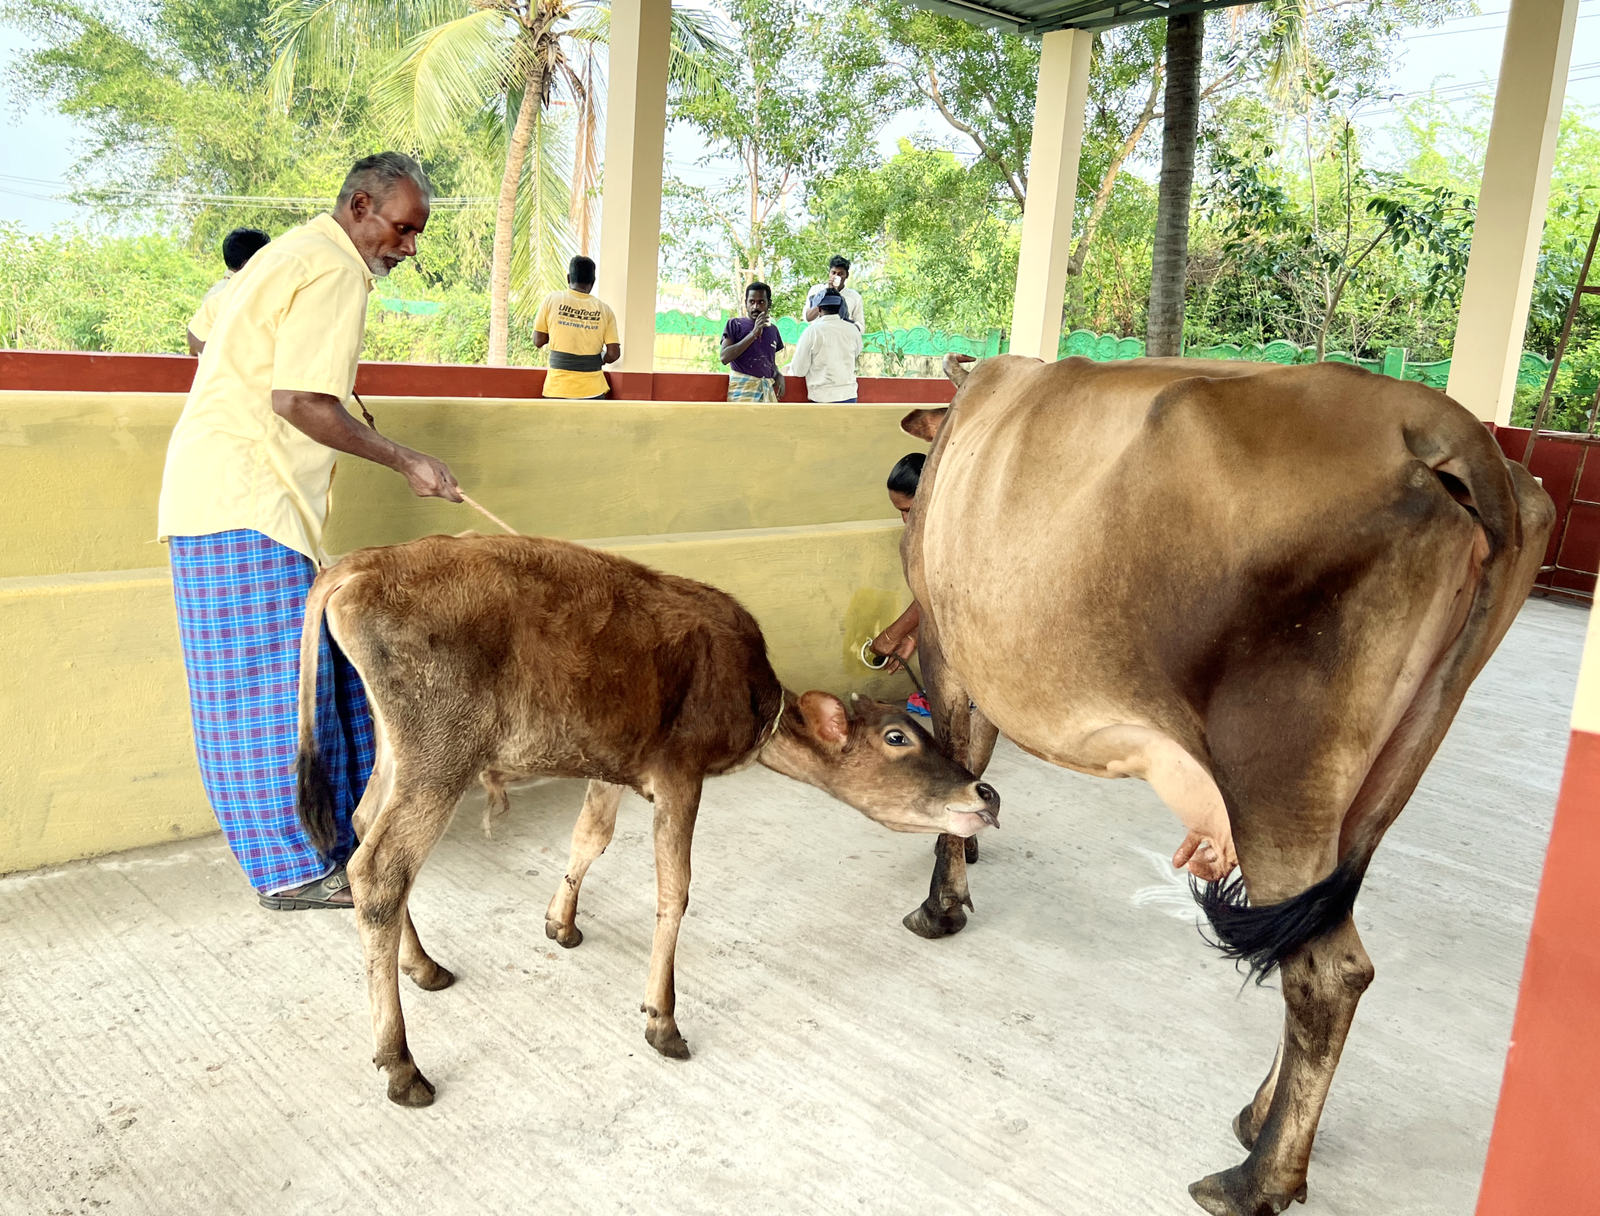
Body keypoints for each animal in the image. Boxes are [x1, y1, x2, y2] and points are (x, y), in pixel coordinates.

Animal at [294, 532, 1000, 1107]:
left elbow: (590, 838)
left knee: (362, 824)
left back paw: (423, 965)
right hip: (442, 748)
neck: (753, 700)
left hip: (400, 748)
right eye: (897, 738)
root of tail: (362, 563)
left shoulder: (614, 764)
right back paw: (401, 1064)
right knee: (381, 870)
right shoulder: (680, 772)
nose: (985, 793)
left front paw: (561, 923)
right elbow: (674, 888)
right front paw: (662, 1020)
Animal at [896, 353, 1554, 1216]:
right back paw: (1257, 1120)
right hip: (1386, 772)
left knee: (1326, 972)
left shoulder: (946, 645)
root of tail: (1444, 426)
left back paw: (1256, 1180)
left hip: (1275, 769)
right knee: (1306, 940)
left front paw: (941, 906)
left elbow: (961, 771)